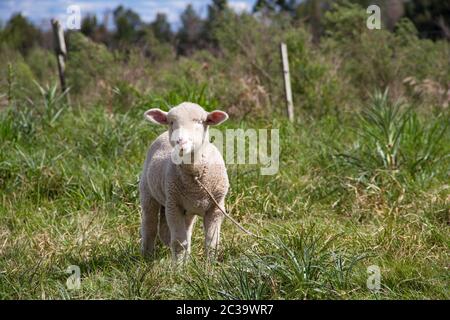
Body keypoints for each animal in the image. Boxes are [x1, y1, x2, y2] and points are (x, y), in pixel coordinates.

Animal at [140, 102, 232, 262]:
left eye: (200, 121)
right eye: (171, 122)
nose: (180, 141)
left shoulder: (216, 208)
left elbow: (212, 241)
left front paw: (210, 264)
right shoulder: (174, 206)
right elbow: (178, 242)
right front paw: (178, 267)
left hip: (186, 208)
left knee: (186, 232)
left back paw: (187, 259)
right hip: (148, 193)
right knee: (149, 225)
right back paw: (147, 256)